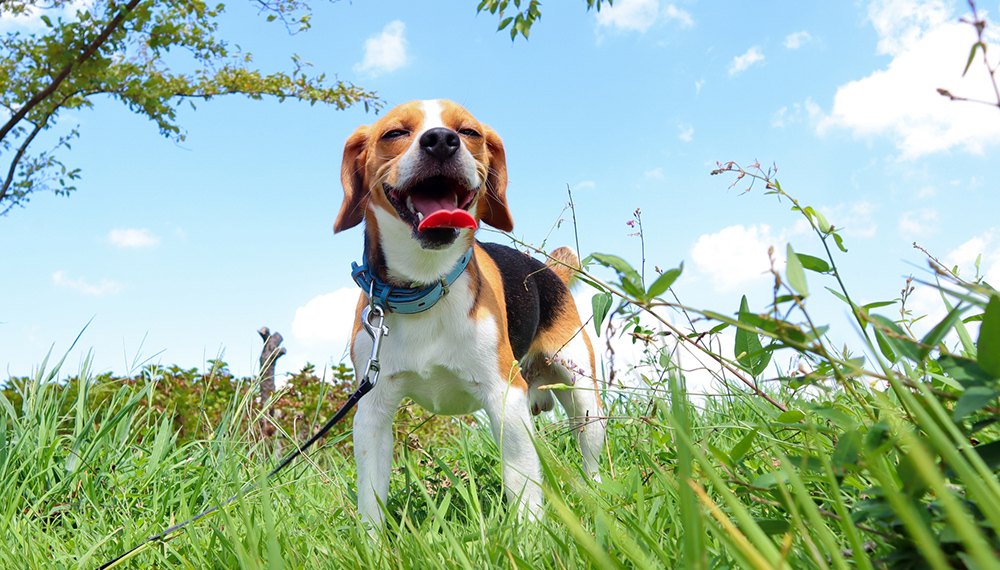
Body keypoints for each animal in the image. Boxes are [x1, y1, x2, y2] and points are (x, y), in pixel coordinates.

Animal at [332, 98, 604, 528]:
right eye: (395, 133)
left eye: (469, 132)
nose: (442, 141)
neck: (427, 283)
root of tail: (548, 271)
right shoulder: (371, 412)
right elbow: (371, 499)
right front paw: (373, 541)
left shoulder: (505, 397)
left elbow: (522, 483)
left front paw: (529, 534)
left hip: (583, 395)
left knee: (588, 451)